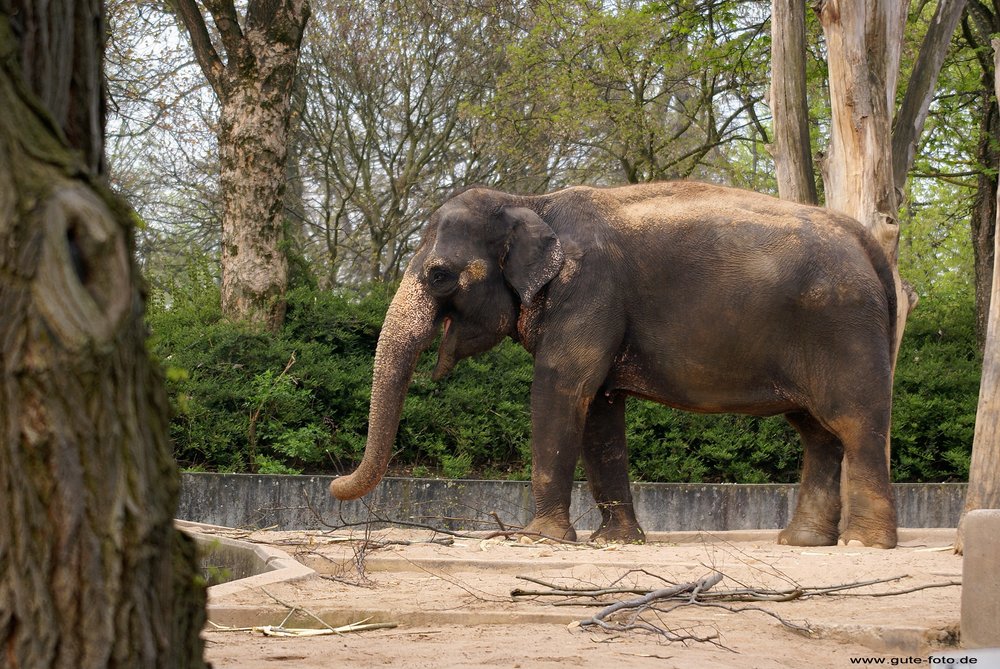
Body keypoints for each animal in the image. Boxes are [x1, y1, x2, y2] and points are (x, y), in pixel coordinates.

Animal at [329, 181, 899, 549]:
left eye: (439, 275)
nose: (334, 486)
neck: (531, 201)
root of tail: (869, 244)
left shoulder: (589, 290)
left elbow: (561, 389)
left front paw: (540, 540)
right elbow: (601, 413)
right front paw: (617, 542)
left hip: (845, 327)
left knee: (856, 425)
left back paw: (863, 546)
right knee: (817, 433)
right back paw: (802, 543)